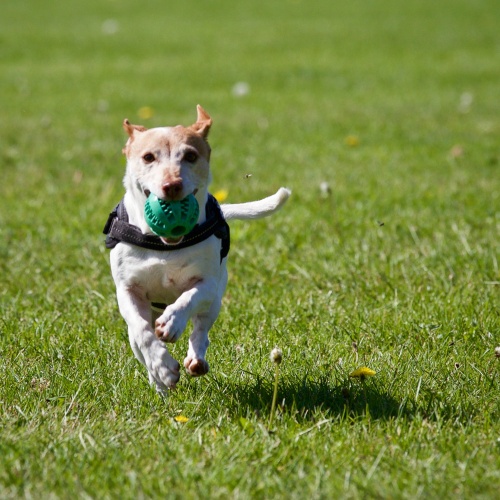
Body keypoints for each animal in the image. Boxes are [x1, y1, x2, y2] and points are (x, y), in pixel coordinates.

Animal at [104, 105, 292, 392]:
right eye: (148, 157)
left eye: (190, 156)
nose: (172, 185)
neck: (164, 246)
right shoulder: (127, 290)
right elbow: (142, 331)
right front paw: (163, 367)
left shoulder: (208, 284)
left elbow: (188, 299)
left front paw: (172, 323)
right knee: (139, 341)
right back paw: (159, 383)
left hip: (215, 300)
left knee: (201, 329)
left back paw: (195, 358)